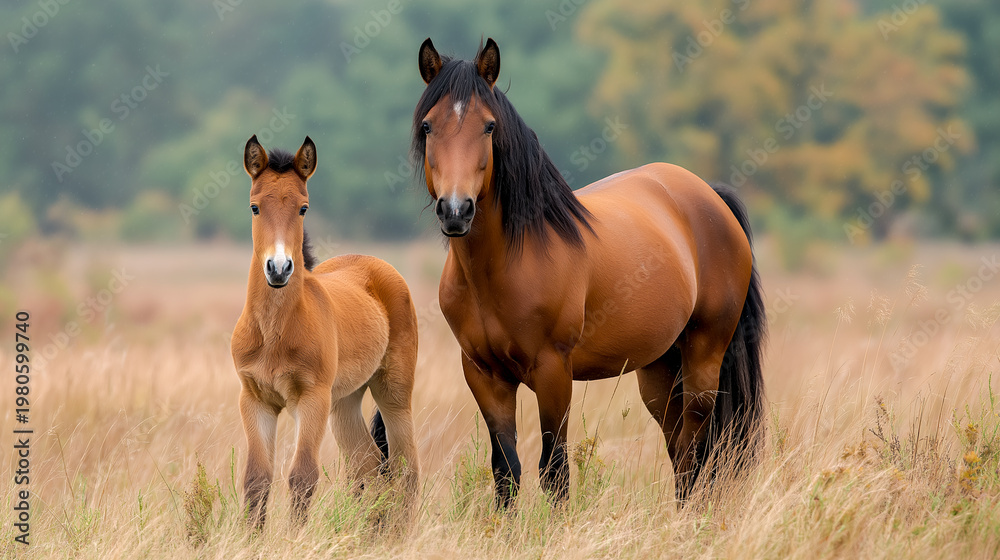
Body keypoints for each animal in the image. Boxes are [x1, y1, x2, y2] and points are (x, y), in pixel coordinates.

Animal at [231, 135, 420, 530]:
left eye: (303, 208)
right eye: (255, 207)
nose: (279, 268)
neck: (274, 332)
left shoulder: (311, 398)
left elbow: (302, 476)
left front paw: (295, 538)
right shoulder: (254, 399)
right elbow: (256, 479)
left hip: (393, 392)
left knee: (405, 468)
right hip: (344, 401)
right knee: (368, 466)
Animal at [412, 38, 765, 507]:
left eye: (488, 126)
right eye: (428, 126)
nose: (456, 210)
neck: (505, 264)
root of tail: (709, 194)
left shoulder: (553, 373)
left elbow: (555, 472)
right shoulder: (485, 377)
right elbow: (505, 471)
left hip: (705, 357)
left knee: (696, 453)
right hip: (659, 369)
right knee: (680, 451)